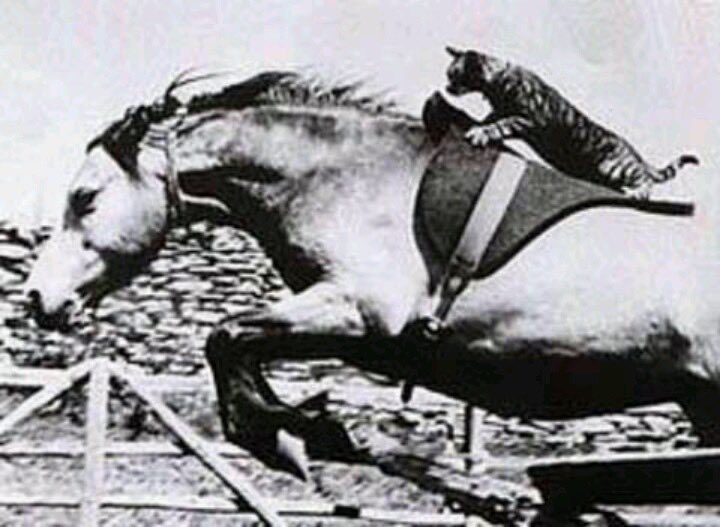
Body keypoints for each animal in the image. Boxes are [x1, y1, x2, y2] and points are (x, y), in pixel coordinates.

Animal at [25, 70, 719, 480]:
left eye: (85, 198)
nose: (37, 298)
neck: (336, 175)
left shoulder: (360, 311)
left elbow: (224, 337)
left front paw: (303, 435)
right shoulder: (355, 331)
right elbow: (237, 345)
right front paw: (303, 423)